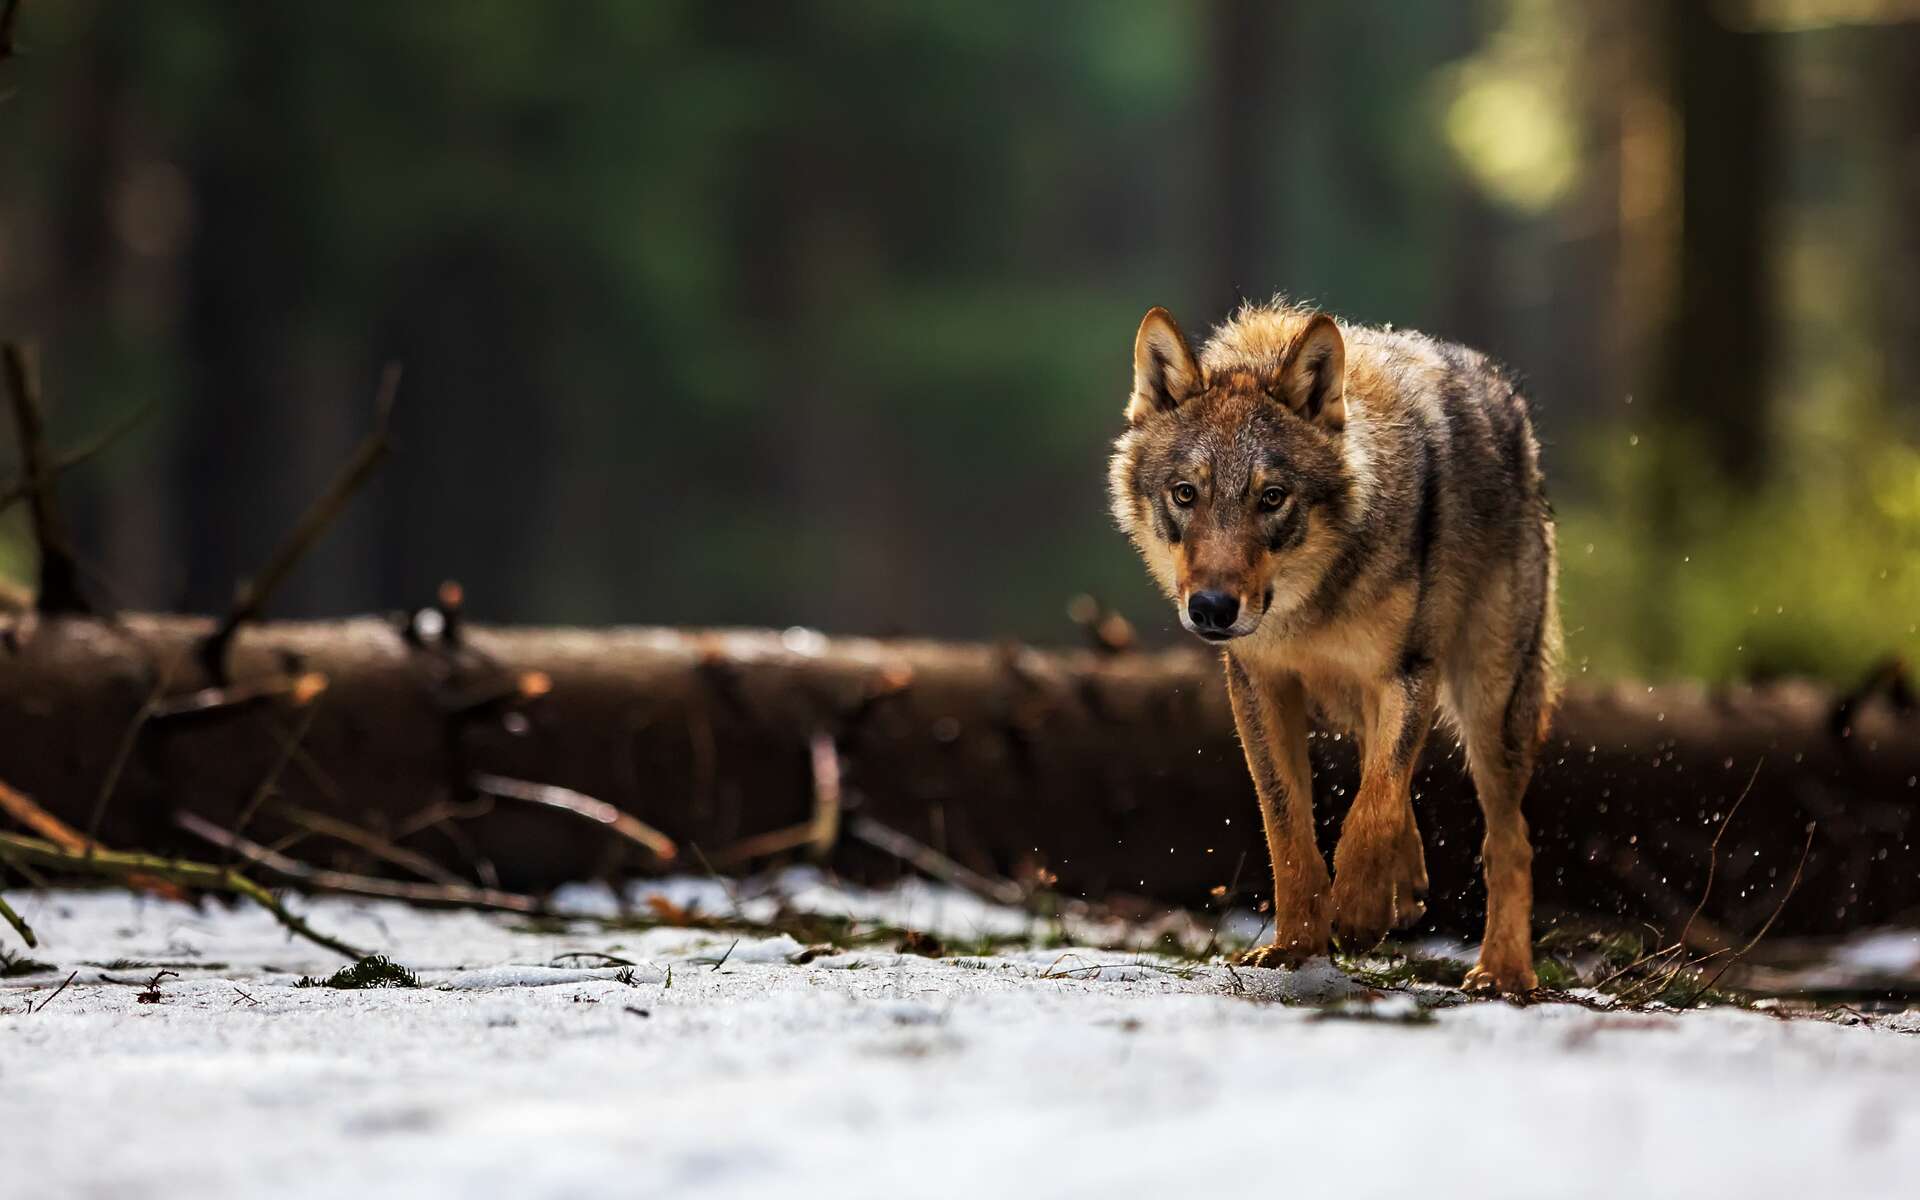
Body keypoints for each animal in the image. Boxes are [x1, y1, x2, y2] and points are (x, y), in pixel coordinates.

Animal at [1113, 299, 1559, 990]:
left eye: (1271, 498)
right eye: (1186, 494)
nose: (1211, 608)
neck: (1311, 606)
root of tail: (1506, 397)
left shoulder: (1406, 671)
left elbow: (1371, 808)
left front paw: (1358, 910)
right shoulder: (1260, 684)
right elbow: (1289, 826)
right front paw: (1296, 946)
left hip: (1489, 703)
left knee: (1508, 838)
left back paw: (1503, 971)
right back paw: (1409, 889)